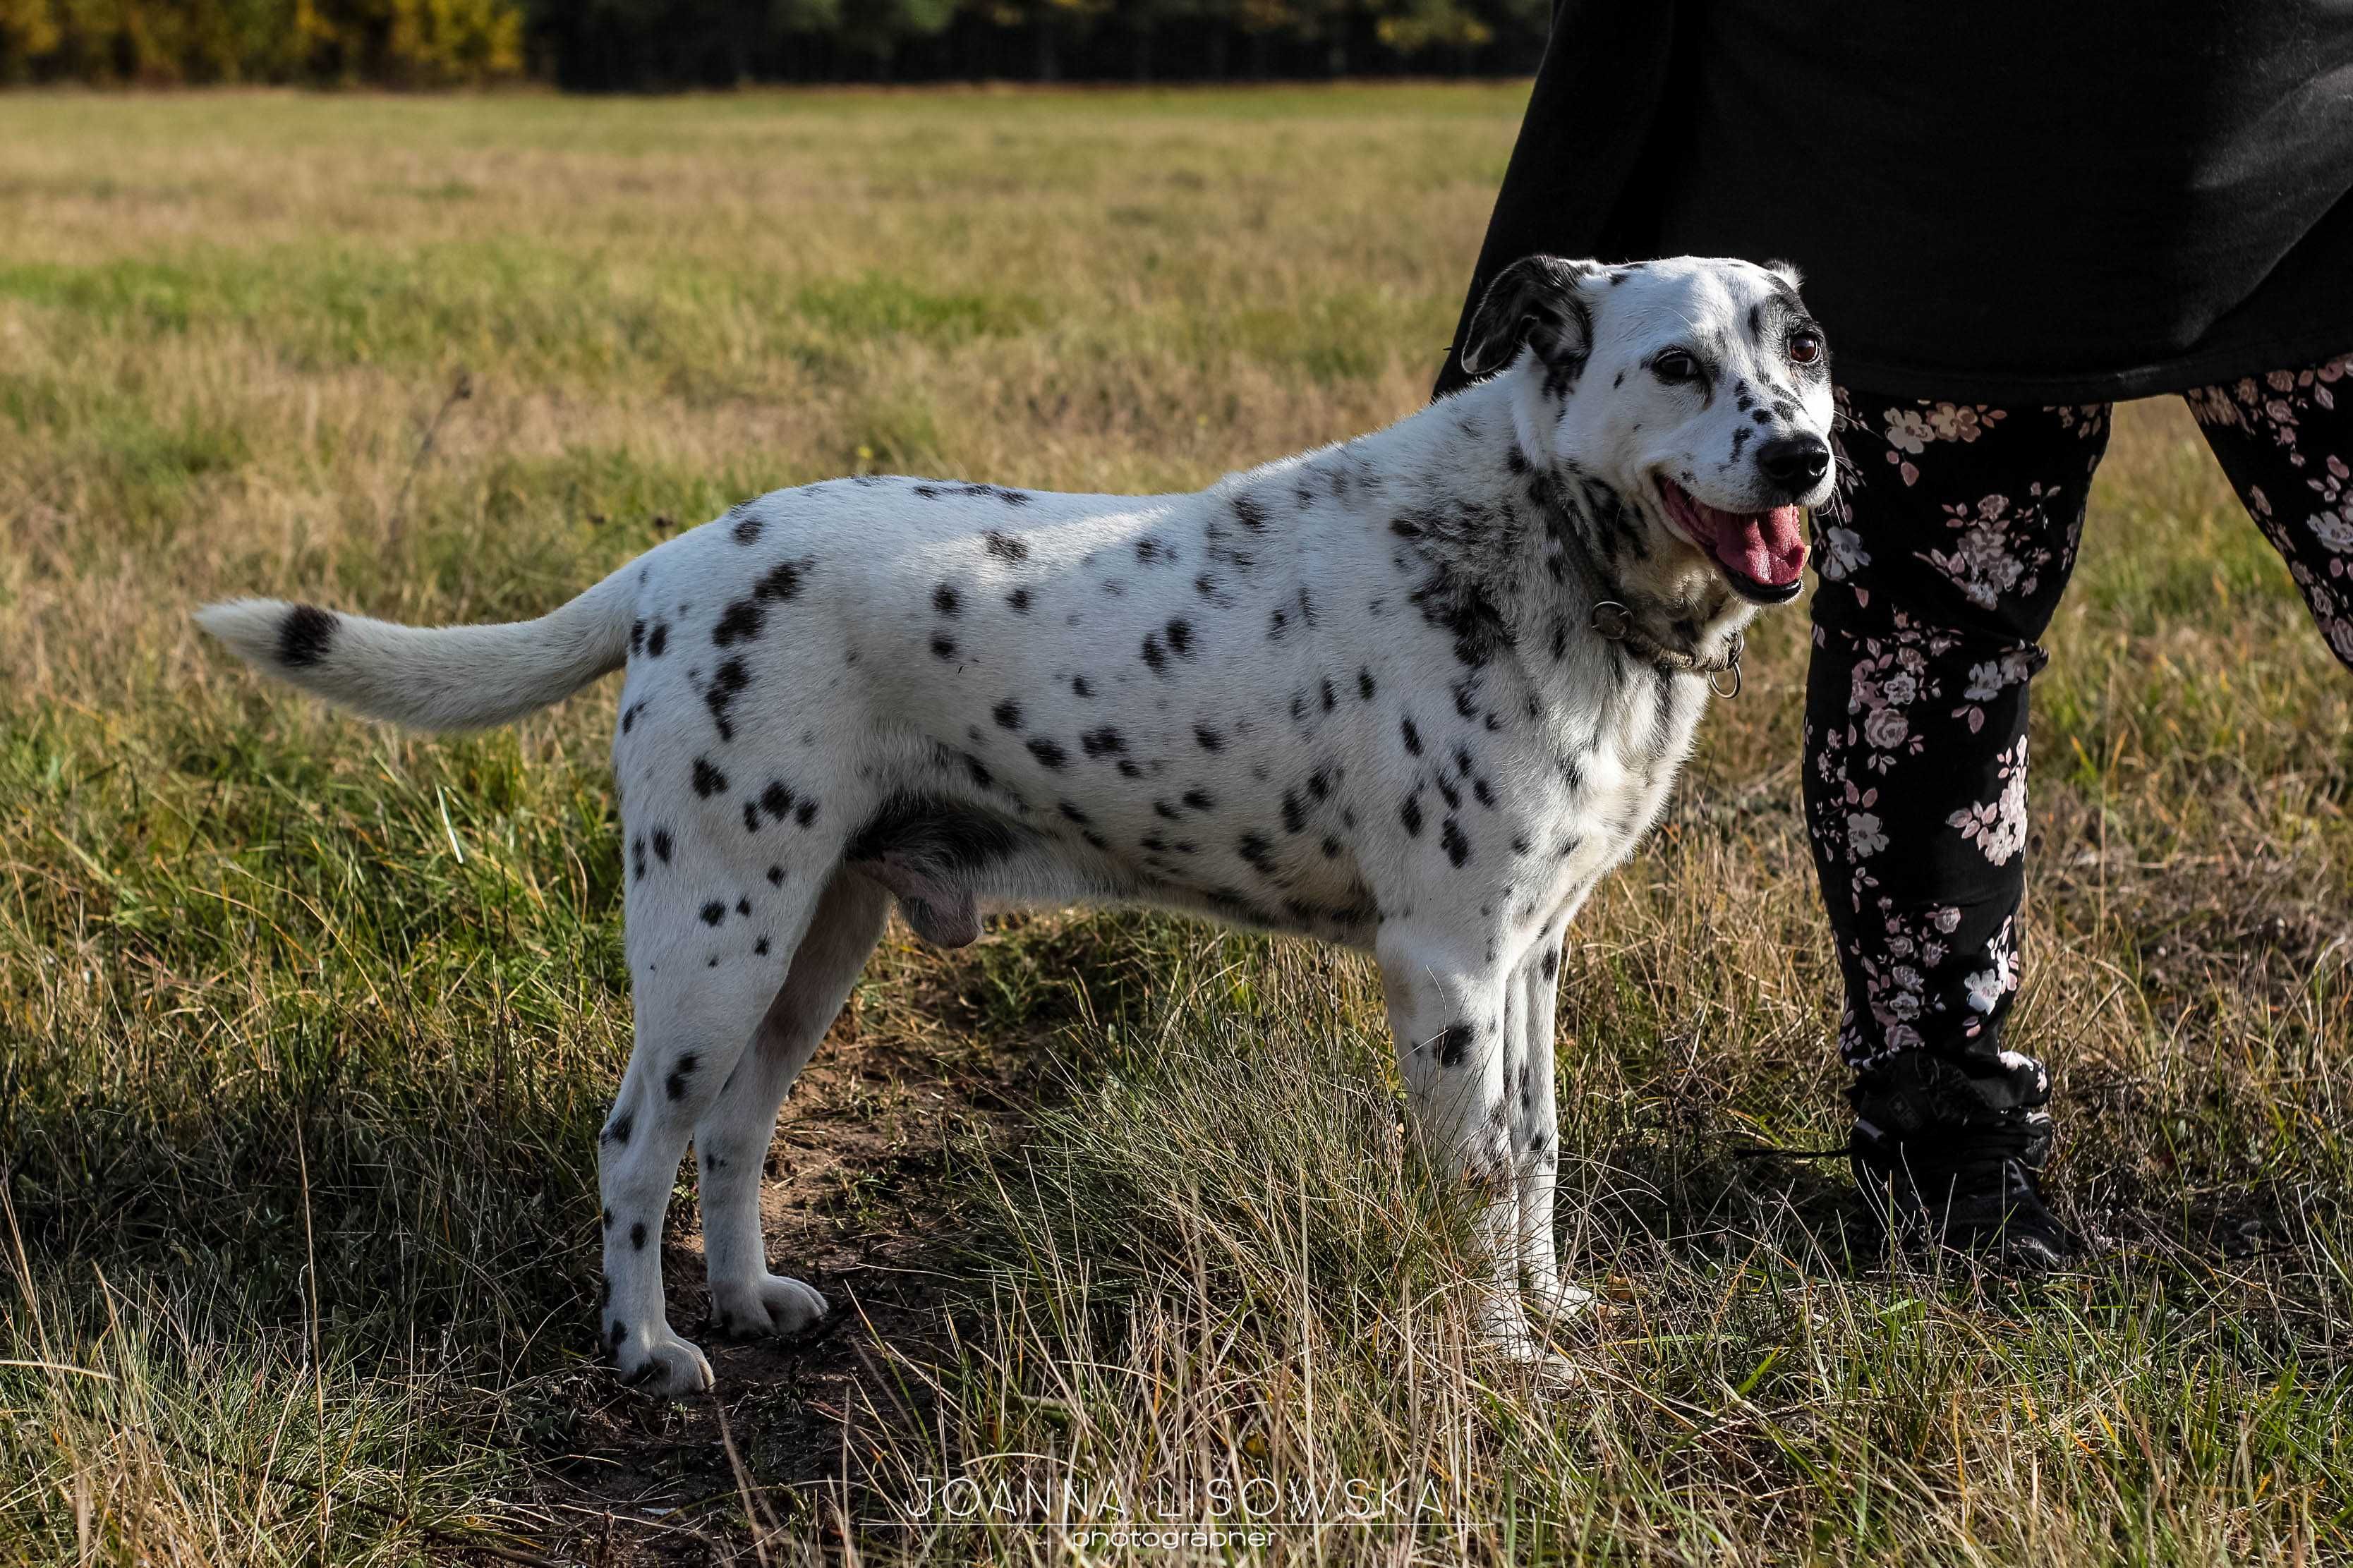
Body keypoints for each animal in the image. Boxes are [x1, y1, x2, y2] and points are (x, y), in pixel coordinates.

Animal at [202, 257, 1835, 1401]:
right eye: (1677, 364)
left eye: (1801, 348)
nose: (1805, 460)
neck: (1546, 546)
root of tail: (671, 565)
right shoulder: (1445, 968)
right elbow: (1483, 1179)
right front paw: (1506, 1356)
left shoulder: (1533, 957)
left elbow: (1538, 1153)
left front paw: (1548, 1310)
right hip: (714, 939)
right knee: (631, 1143)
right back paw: (649, 1347)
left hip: (816, 939)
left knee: (733, 1129)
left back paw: (749, 1299)